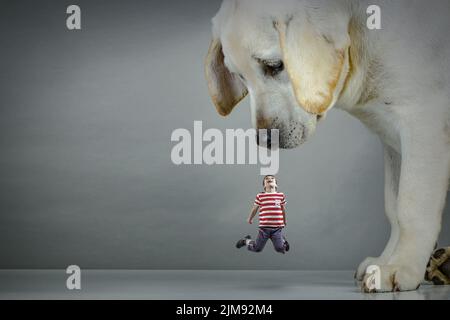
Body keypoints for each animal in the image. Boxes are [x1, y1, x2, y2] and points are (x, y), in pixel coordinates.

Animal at [205, 0, 450, 292]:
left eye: (274, 66)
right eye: (239, 76)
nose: (263, 139)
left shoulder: (422, 123)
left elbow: (411, 207)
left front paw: (403, 266)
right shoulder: (393, 142)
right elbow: (393, 207)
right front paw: (386, 259)